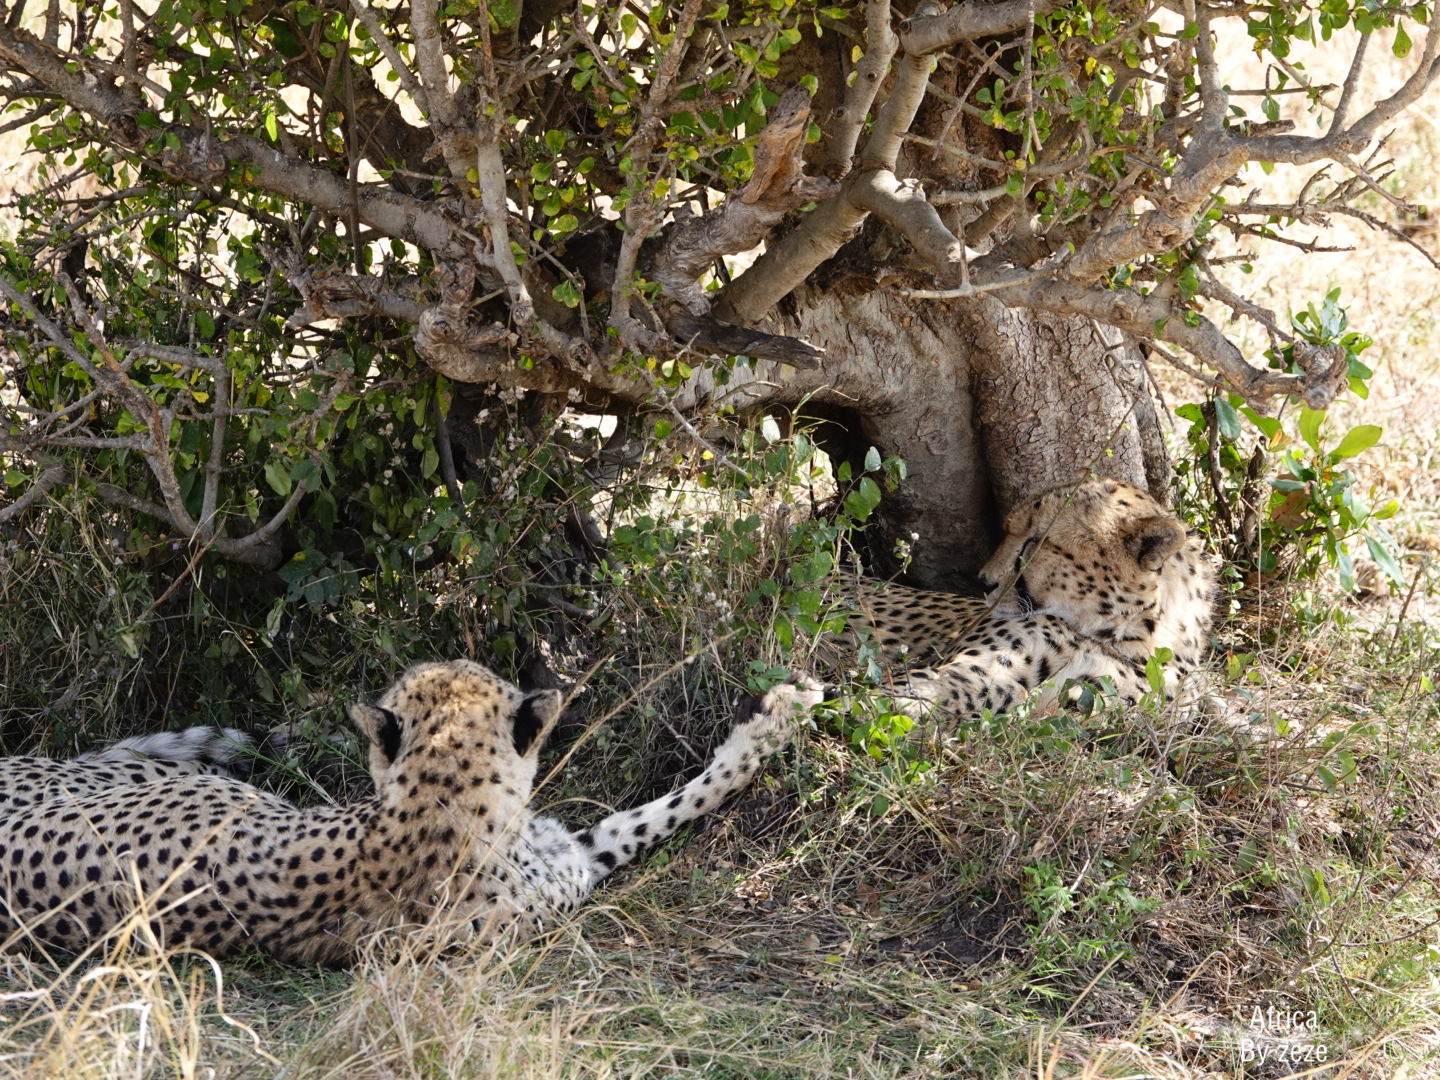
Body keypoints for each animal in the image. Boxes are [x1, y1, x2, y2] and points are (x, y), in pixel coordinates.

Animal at [0, 665, 823, 967]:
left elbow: (653, 813)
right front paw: (779, 719)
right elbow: (679, 801)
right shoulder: (564, 873)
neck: (441, 802)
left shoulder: (573, 857)